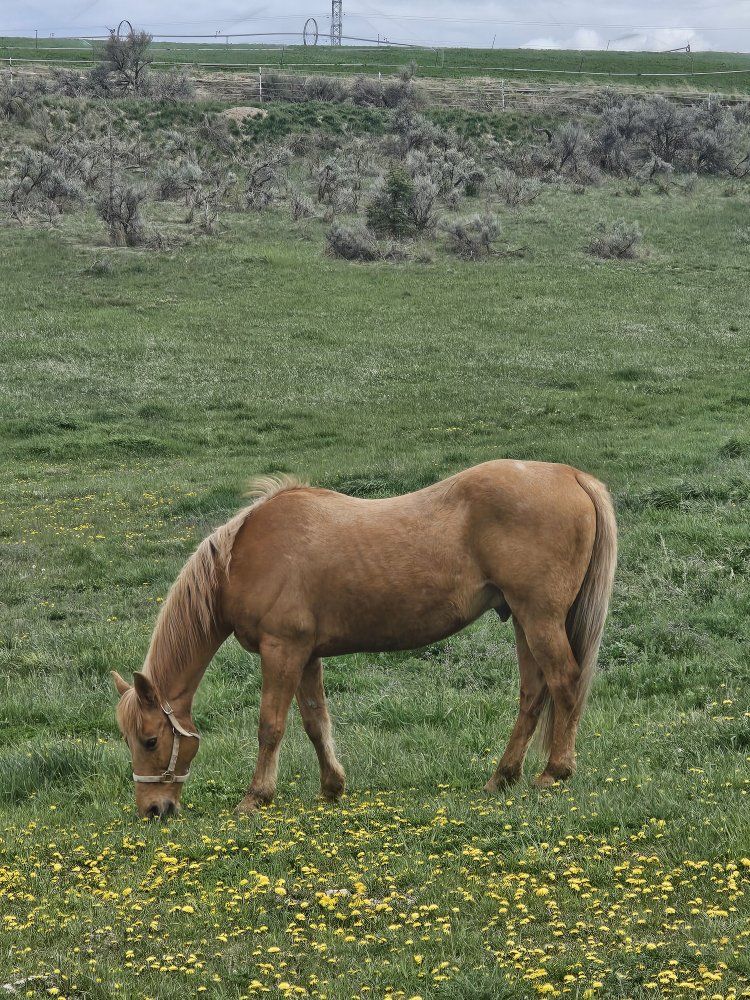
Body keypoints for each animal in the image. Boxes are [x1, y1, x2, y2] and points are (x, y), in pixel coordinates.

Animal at [112, 460, 617, 819]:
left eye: (151, 740)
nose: (154, 810)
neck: (242, 559)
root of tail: (572, 476)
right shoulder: (305, 655)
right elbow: (315, 721)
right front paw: (331, 787)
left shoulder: (282, 651)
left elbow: (271, 725)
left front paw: (256, 796)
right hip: (521, 619)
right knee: (533, 693)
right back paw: (502, 777)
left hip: (539, 617)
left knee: (564, 681)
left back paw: (554, 772)